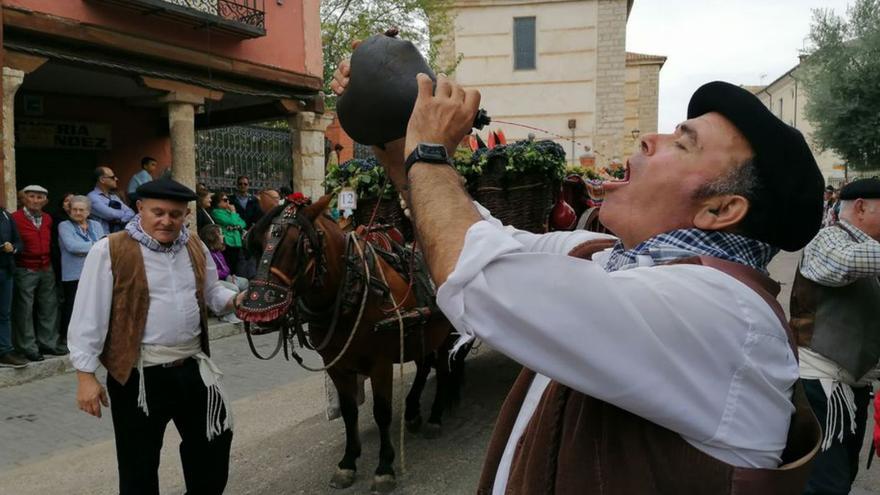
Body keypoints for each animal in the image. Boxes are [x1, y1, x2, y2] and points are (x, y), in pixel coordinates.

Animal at [237, 197, 464, 492]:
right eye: (257, 241)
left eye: (301, 246)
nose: (255, 309)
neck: (349, 291)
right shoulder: (336, 365)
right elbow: (348, 412)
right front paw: (348, 462)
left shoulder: (380, 364)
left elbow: (382, 412)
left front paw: (384, 467)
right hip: (420, 333)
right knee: (425, 365)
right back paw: (414, 410)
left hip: (447, 333)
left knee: (444, 370)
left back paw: (435, 417)